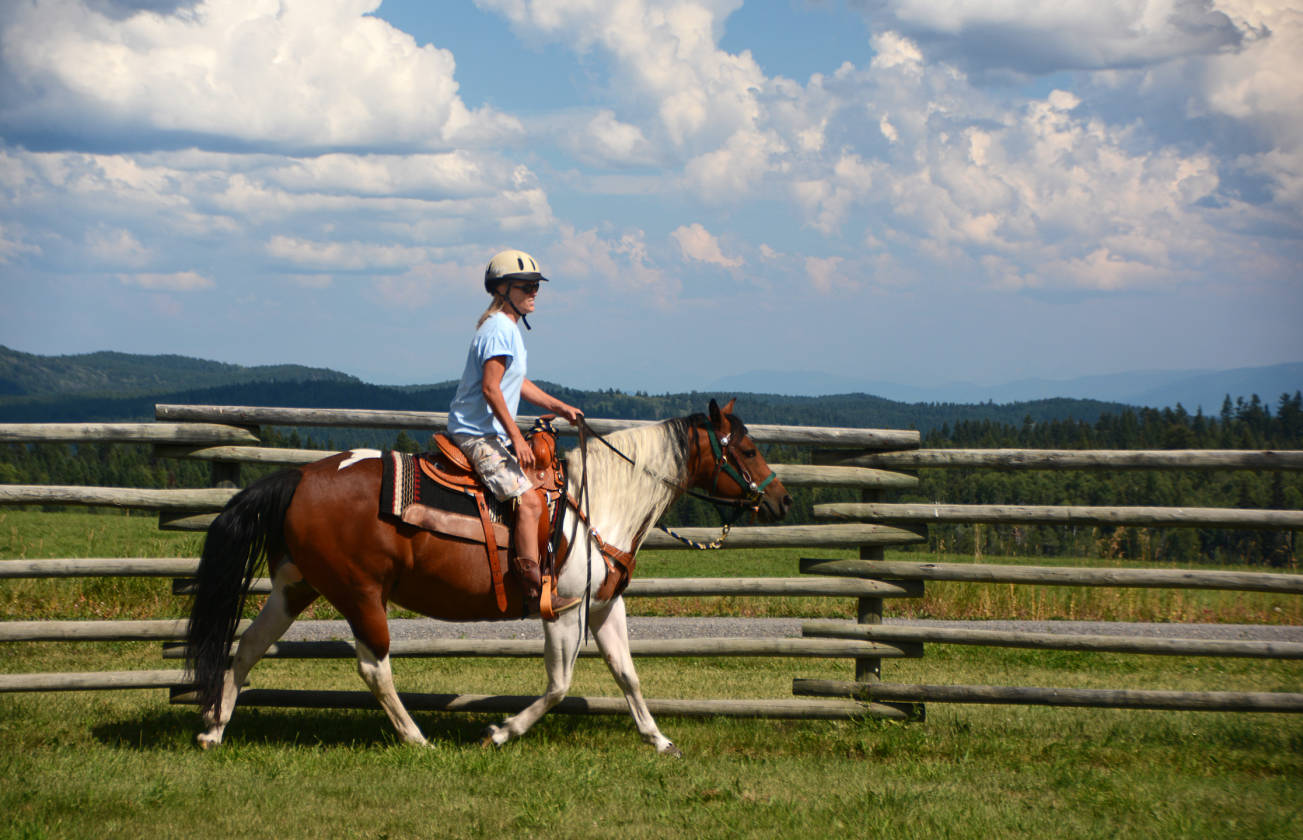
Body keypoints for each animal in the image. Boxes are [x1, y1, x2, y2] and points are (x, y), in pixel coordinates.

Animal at [183, 398, 791, 754]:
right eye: (748, 448)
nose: (782, 500)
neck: (598, 504)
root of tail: (300, 477)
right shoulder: (562, 610)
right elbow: (559, 685)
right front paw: (500, 731)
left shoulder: (603, 607)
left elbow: (628, 675)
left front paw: (659, 740)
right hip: (360, 595)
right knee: (373, 667)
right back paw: (417, 739)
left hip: (294, 586)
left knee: (246, 647)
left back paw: (213, 728)